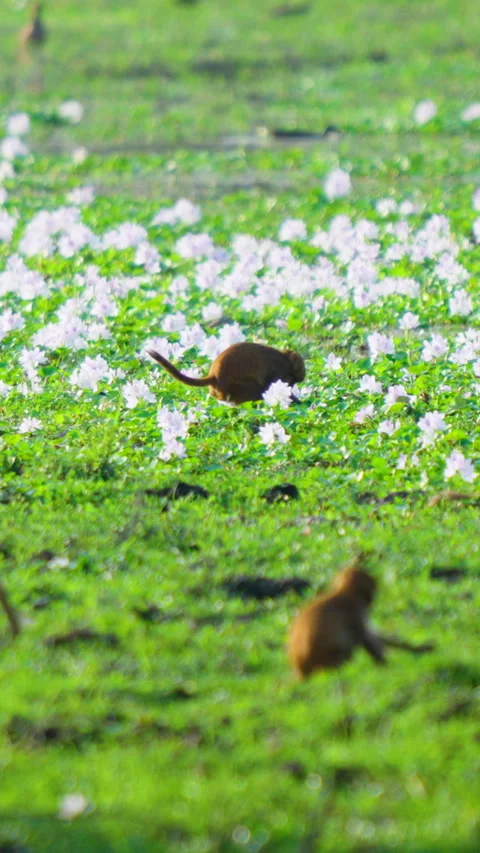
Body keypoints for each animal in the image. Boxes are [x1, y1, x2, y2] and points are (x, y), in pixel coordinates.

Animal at [148, 342, 306, 405]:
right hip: (236, 387)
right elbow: (269, 385)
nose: (290, 387)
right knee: (257, 391)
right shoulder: (279, 372)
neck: (285, 359)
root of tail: (214, 376)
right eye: (291, 382)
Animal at [288, 565, 433, 679]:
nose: (372, 599)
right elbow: (366, 639)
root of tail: (301, 670)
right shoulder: (354, 610)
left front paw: (418, 647)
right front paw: (388, 667)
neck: (343, 593)